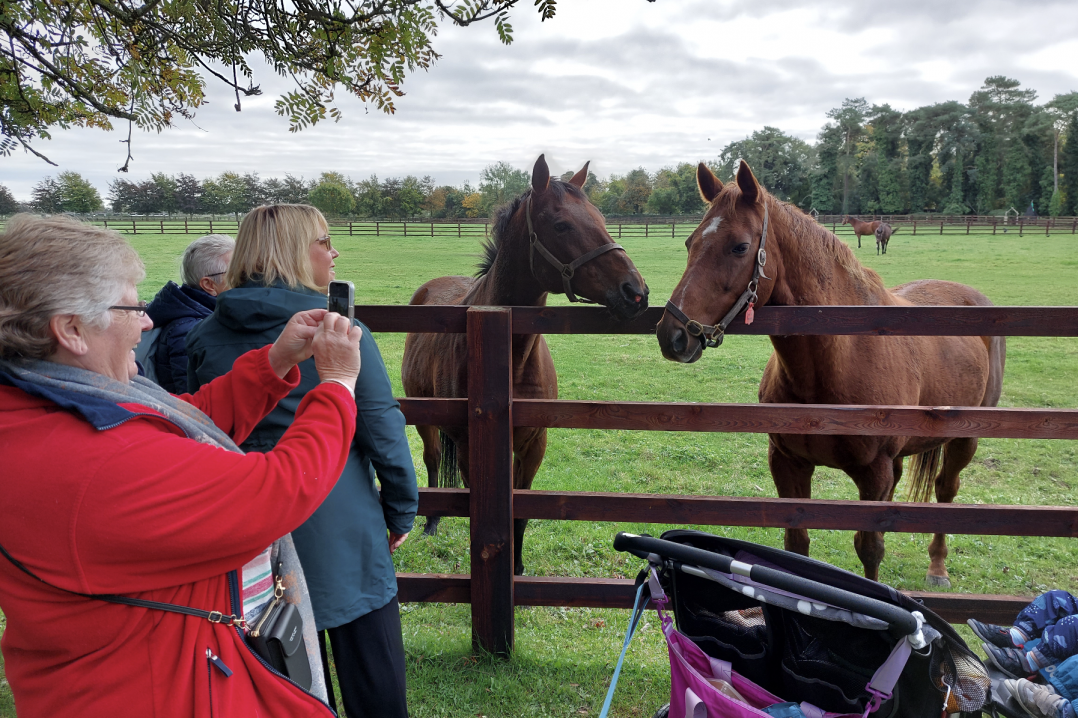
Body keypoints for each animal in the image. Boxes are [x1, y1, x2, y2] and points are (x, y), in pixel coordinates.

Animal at [402, 155, 649, 575]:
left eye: (600, 217)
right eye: (561, 225)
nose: (635, 292)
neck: (511, 357)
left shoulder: (534, 445)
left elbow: (522, 511)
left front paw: (516, 569)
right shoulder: (471, 449)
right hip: (423, 416)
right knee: (432, 460)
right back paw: (431, 522)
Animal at [656, 160, 1006, 587]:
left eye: (739, 246)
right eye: (690, 243)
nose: (672, 335)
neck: (836, 362)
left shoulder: (873, 474)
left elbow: (870, 548)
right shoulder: (788, 463)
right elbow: (796, 544)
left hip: (964, 438)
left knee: (945, 491)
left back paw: (938, 567)